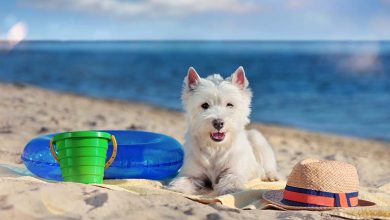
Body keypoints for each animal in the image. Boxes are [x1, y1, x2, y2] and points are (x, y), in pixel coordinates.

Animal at [169, 66, 278, 195]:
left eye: (230, 104)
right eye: (205, 105)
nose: (218, 123)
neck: (216, 147)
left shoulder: (234, 171)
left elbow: (231, 180)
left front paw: (230, 189)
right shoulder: (192, 173)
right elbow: (184, 179)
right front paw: (178, 188)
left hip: (257, 139)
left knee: (268, 165)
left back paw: (271, 176)